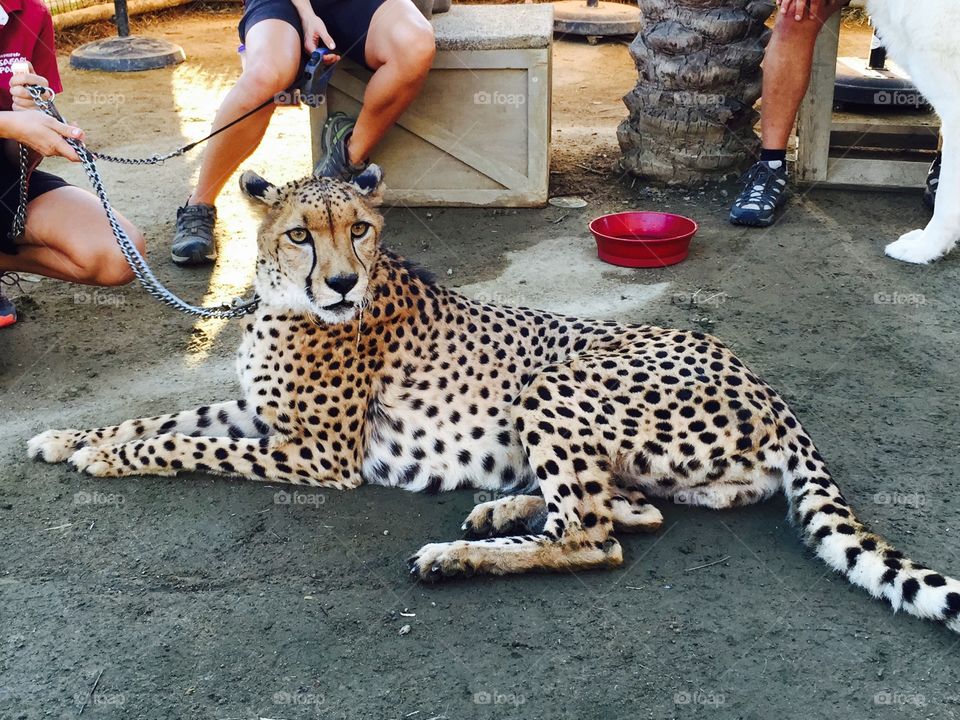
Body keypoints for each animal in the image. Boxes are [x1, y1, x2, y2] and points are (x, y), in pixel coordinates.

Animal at [28, 166, 960, 635]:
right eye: (300, 233)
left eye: (358, 229)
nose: (341, 283)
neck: (284, 302)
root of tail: (764, 382)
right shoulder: (266, 419)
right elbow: (168, 420)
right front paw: (71, 438)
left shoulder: (317, 455)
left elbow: (182, 443)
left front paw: (107, 455)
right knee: (634, 510)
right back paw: (500, 509)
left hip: (555, 382)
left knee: (593, 535)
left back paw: (458, 555)